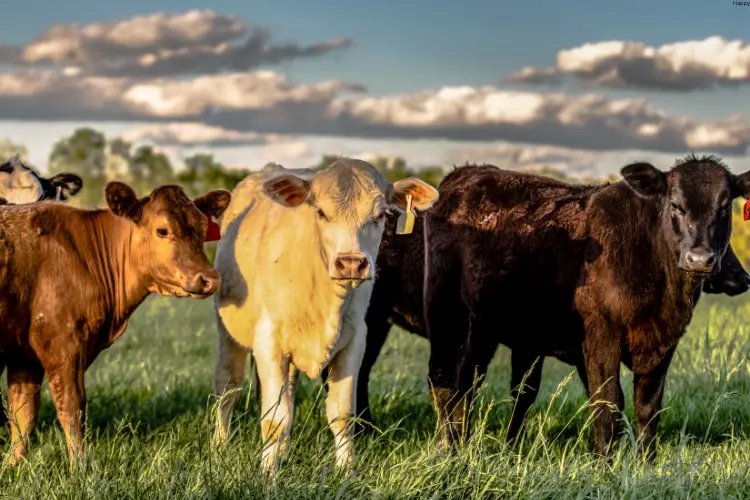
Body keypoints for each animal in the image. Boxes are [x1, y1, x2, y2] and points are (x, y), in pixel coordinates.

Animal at [0, 180, 231, 464]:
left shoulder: (24, 353)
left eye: (202, 229)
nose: (210, 279)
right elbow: (72, 410)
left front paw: (12, 467)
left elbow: (23, 416)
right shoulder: (62, 341)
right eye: (162, 230)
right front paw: (81, 468)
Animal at [213, 159, 440, 472]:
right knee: (227, 388)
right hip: (228, 333)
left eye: (381, 215)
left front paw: (346, 470)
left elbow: (341, 415)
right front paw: (268, 472)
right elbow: (274, 418)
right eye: (321, 212)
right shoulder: (268, 343)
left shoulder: (354, 343)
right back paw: (221, 445)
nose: (351, 263)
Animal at [418, 157, 750, 460]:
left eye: (724, 207)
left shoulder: (663, 343)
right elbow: (607, 402)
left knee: (473, 384)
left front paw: (647, 463)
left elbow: (648, 407)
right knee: (443, 380)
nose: (700, 259)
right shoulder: (601, 336)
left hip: (488, 328)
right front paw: (605, 464)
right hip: (446, 314)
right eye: (675, 205)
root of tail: (466, 172)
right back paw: (448, 449)